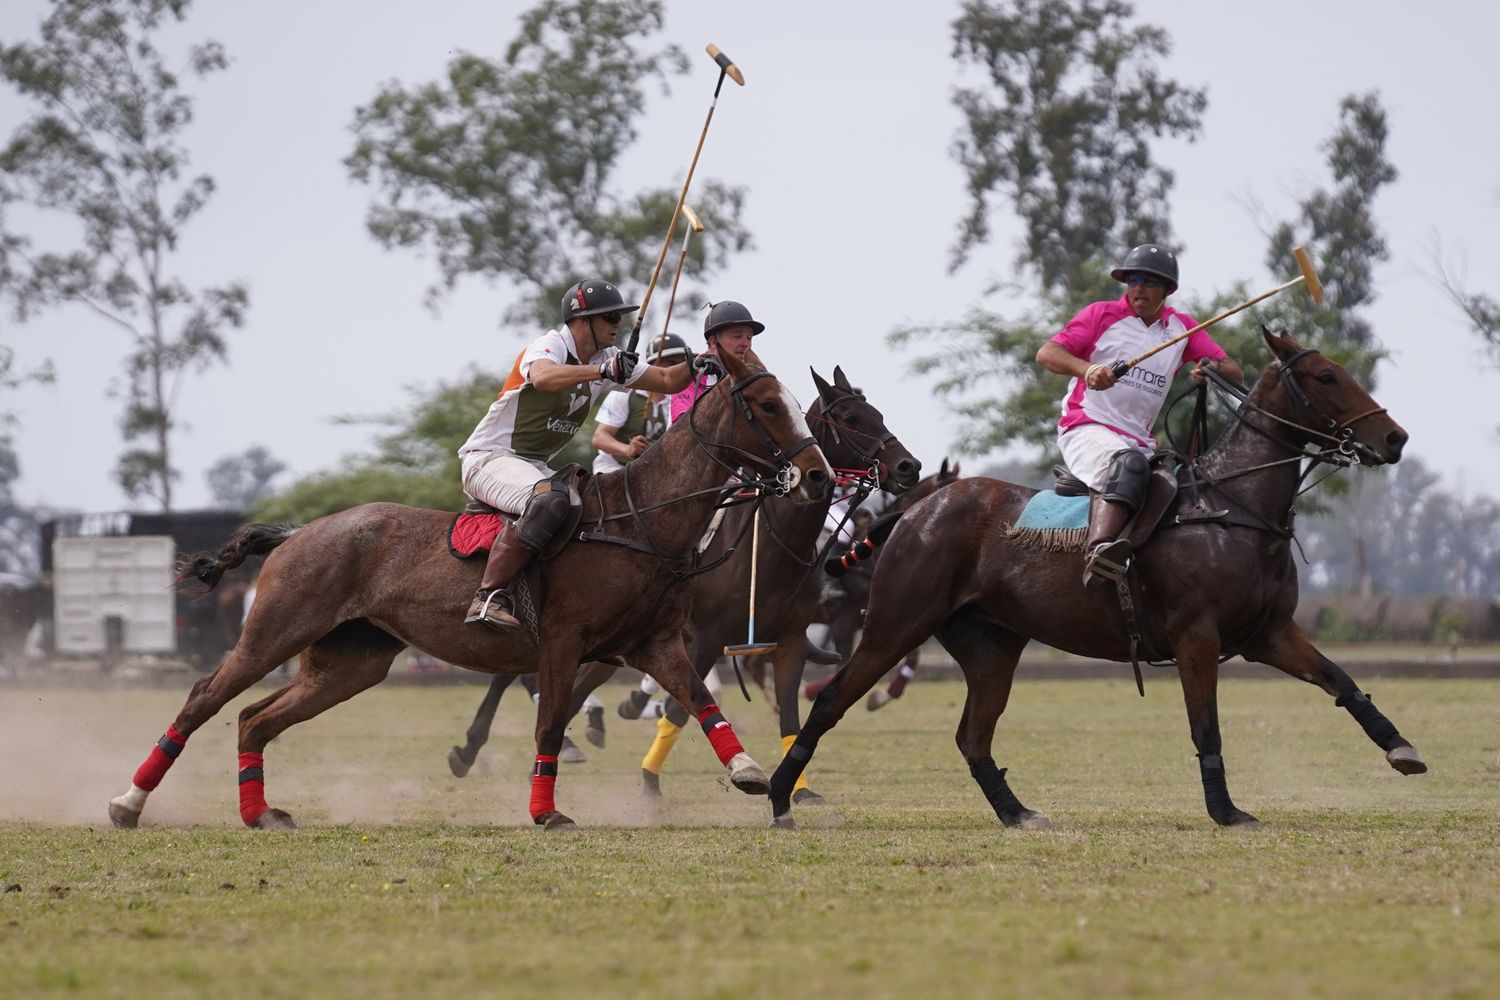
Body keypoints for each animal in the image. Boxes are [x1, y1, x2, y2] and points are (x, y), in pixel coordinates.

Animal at [105, 347, 834, 833]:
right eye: (769, 406)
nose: (819, 477)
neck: (643, 521)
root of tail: (296, 532)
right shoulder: (564, 642)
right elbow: (550, 721)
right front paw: (545, 813)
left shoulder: (656, 644)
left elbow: (699, 702)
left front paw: (749, 775)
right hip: (275, 629)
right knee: (205, 698)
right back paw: (127, 803)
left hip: (351, 662)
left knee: (255, 718)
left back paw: (260, 814)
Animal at [441, 367, 924, 797]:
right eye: (850, 419)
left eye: (878, 414)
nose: (908, 465)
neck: (774, 547)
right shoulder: (707, 638)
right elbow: (679, 710)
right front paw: (650, 782)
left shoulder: (791, 641)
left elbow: (789, 715)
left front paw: (798, 793)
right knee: (518, 678)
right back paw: (472, 749)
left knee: (575, 689)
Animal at [774, 332, 1428, 833]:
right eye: (1325, 377)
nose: (1395, 438)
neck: (1233, 507)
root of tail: (915, 511)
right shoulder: (1198, 637)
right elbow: (1206, 724)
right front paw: (1226, 812)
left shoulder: (1267, 633)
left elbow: (1340, 680)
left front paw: (1402, 748)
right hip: (896, 623)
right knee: (831, 699)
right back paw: (781, 796)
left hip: (991, 645)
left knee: (972, 737)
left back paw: (1017, 813)